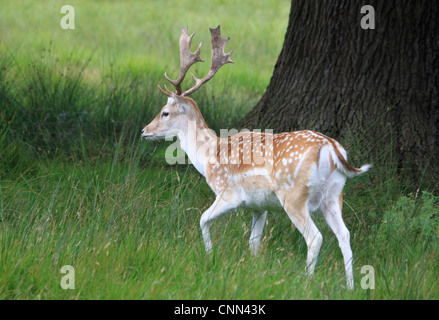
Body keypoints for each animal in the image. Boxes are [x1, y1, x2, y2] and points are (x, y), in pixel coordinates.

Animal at [143, 25, 372, 290]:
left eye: (165, 112)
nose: (144, 130)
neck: (209, 154)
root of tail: (332, 149)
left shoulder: (229, 193)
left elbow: (202, 219)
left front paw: (209, 257)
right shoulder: (259, 206)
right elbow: (253, 241)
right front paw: (252, 269)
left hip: (294, 195)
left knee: (315, 237)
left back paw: (306, 281)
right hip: (334, 194)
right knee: (344, 235)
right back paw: (351, 286)